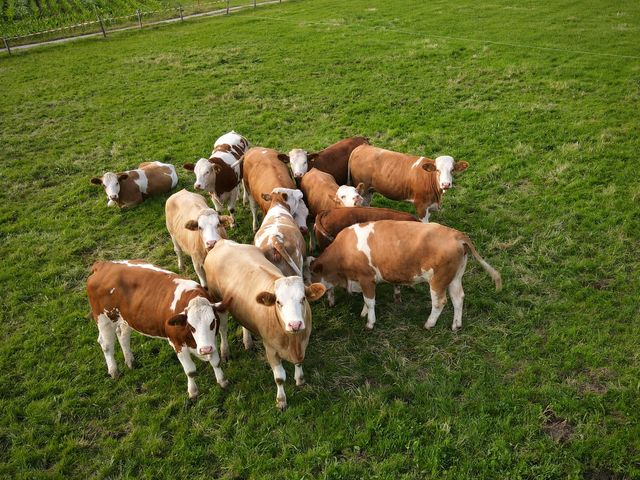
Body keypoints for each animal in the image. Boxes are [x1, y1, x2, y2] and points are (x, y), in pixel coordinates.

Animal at [86, 260, 229, 400]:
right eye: (191, 326)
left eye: (212, 323)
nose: (205, 350)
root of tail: (103, 264)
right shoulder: (177, 344)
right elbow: (190, 371)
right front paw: (193, 392)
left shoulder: (211, 340)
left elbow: (215, 362)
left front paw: (222, 382)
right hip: (103, 318)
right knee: (106, 344)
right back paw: (114, 371)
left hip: (125, 318)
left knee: (122, 335)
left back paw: (130, 361)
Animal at [205, 240, 324, 408]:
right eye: (278, 302)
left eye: (303, 298)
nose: (295, 324)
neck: (292, 341)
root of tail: (222, 242)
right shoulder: (271, 349)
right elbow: (279, 378)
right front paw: (281, 400)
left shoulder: (303, 342)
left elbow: (299, 362)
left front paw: (300, 379)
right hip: (217, 300)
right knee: (222, 329)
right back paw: (225, 351)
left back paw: (248, 341)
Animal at [308, 220, 502, 330]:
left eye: (309, 277)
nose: (308, 294)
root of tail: (457, 234)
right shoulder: (363, 281)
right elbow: (366, 300)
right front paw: (364, 313)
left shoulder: (366, 278)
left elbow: (370, 301)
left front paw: (370, 322)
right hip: (455, 277)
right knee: (458, 298)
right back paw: (456, 325)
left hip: (438, 280)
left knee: (440, 302)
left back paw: (429, 324)